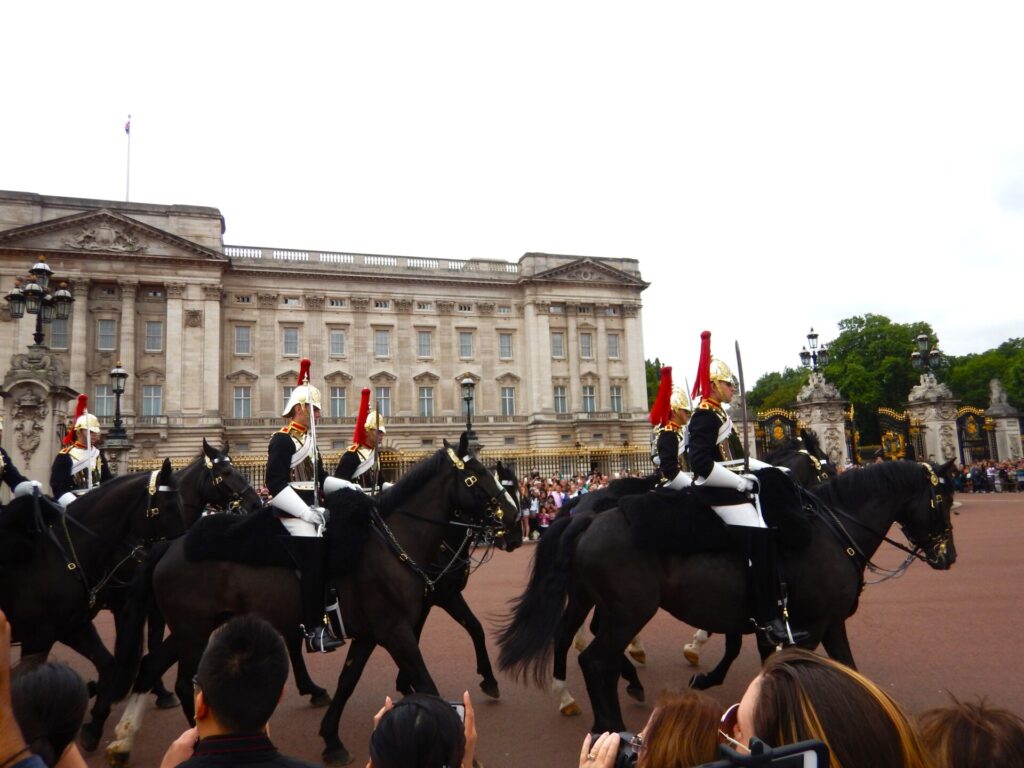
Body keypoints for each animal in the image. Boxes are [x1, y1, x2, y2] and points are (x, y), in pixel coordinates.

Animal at [0, 460, 182, 749]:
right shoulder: (38, 636)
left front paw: (94, 723)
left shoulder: (74, 627)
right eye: (171, 506)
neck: (61, 555)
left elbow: (109, 664)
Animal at [391, 460, 520, 700]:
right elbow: (414, 636)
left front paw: (489, 679)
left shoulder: (447, 595)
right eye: (505, 492)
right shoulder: (432, 600)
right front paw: (406, 684)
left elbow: (475, 627)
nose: (516, 538)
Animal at [497, 460, 958, 737]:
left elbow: (834, 666)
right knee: (594, 660)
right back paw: (612, 724)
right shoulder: (809, 625)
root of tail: (588, 515)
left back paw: (588, 703)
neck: (829, 531)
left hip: (596, 601)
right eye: (942, 499)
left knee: (573, 640)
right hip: (627, 611)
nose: (947, 557)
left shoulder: (801, 620)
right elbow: (782, 664)